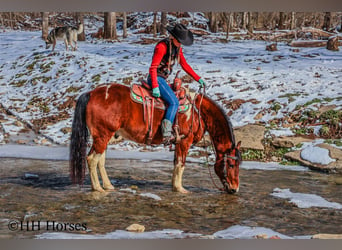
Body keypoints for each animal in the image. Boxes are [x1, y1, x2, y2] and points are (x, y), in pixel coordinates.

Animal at [69, 83, 240, 194]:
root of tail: (91, 93)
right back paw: (97, 188)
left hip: (105, 136)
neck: (198, 112)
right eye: (231, 164)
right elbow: (181, 164)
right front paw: (180, 189)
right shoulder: (184, 141)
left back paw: (108, 185)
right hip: (103, 136)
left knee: (100, 160)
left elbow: (176, 164)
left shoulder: (178, 143)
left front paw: (174, 186)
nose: (234, 188)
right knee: (92, 159)